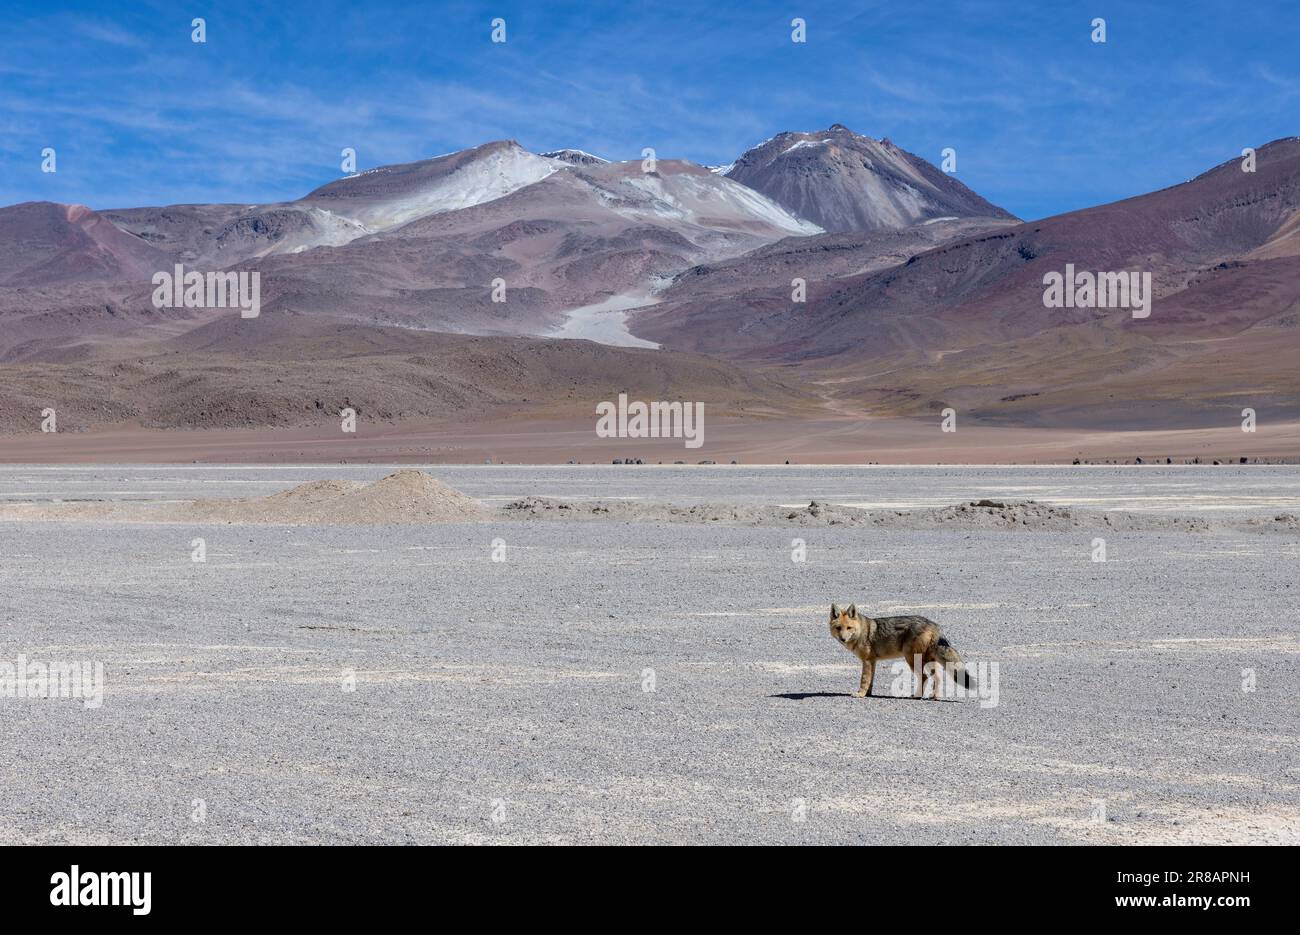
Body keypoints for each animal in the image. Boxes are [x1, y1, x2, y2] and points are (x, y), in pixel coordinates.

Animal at [827, 603, 975, 699]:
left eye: (849, 628)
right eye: (839, 628)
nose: (843, 639)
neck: (862, 631)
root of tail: (933, 624)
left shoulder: (867, 661)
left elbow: (864, 679)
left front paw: (860, 694)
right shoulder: (873, 661)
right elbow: (871, 680)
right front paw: (868, 693)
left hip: (911, 659)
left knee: (925, 677)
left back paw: (917, 696)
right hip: (927, 660)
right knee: (938, 677)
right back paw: (935, 696)